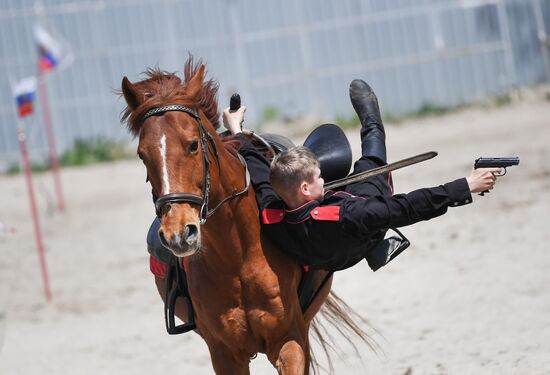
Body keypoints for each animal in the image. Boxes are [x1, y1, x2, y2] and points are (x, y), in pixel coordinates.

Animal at [121, 57, 370, 374]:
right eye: (143, 155)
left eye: (193, 144)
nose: (178, 234)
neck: (238, 258)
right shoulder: (225, 354)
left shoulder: (290, 340)